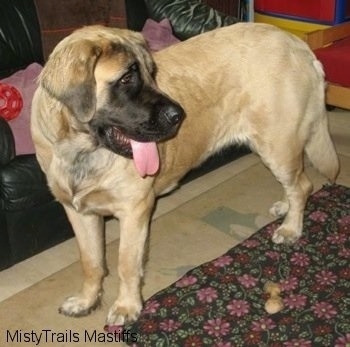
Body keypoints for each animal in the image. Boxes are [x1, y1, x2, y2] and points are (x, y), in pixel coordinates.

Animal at [30, 22, 340, 326]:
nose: (178, 115)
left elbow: (126, 263)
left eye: (151, 72)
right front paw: (86, 300)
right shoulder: (78, 212)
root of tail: (296, 44)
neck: (81, 149)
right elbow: (91, 262)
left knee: (302, 185)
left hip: (276, 143)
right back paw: (286, 208)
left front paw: (127, 306)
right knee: (295, 181)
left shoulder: (134, 210)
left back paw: (290, 228)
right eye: (126, 79)